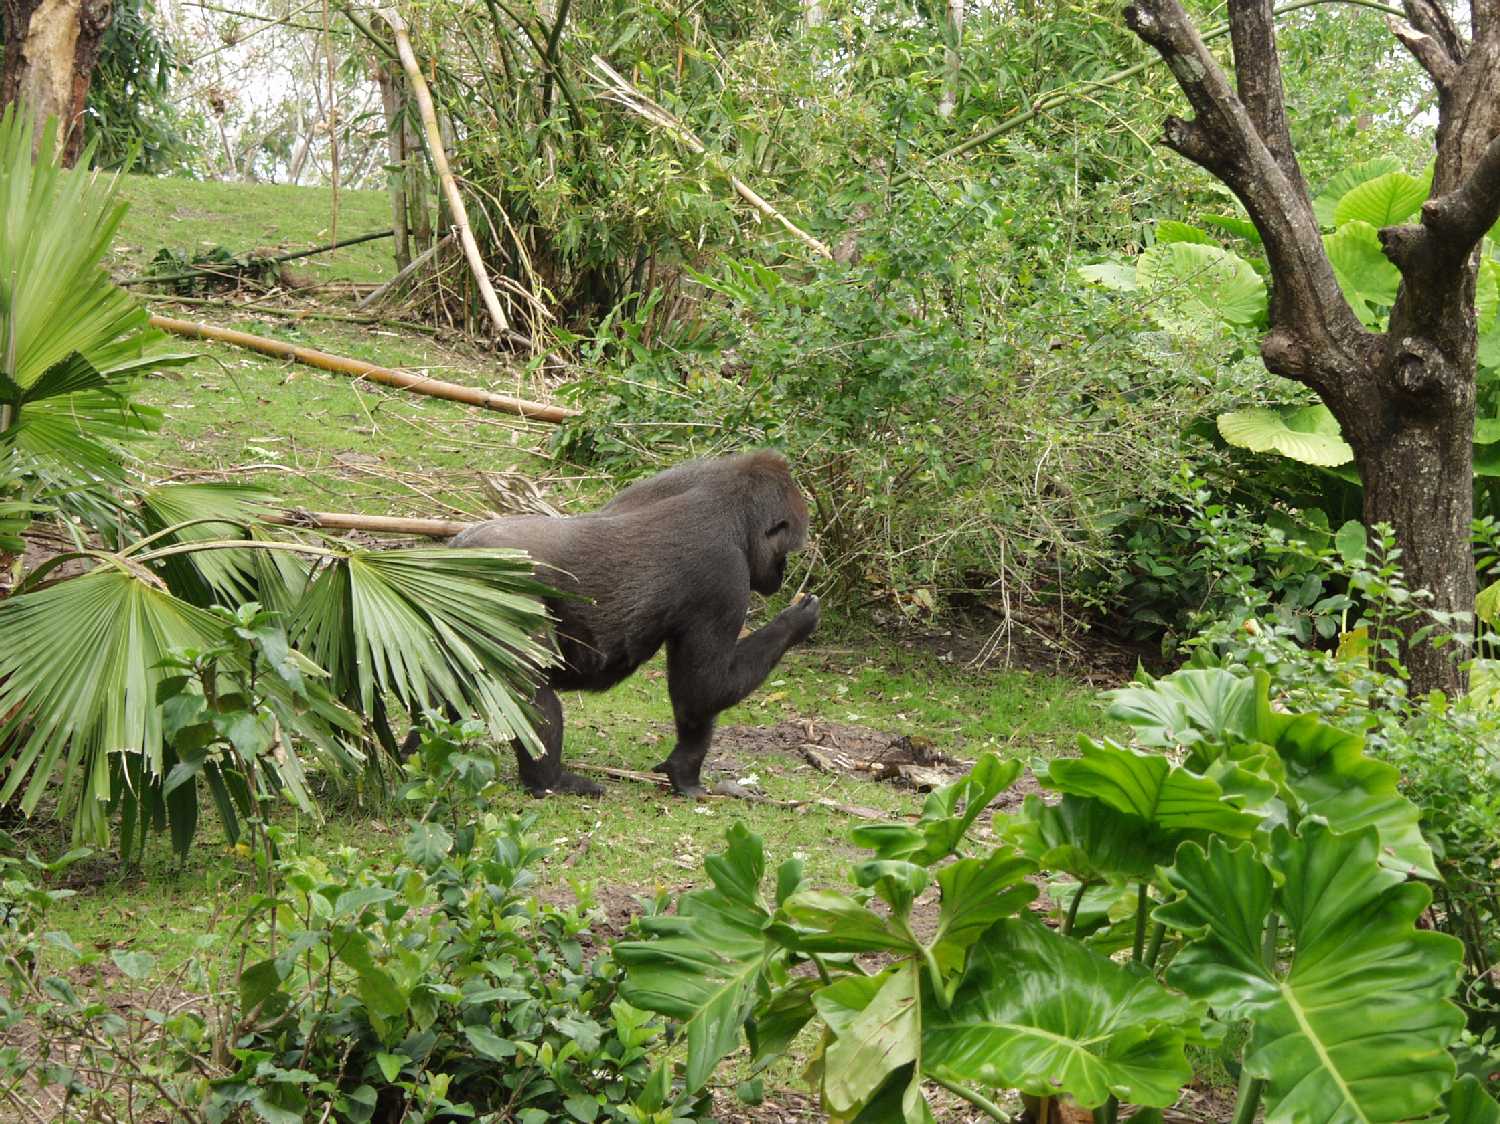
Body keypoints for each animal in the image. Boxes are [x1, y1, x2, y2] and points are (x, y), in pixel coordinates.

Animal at [448, 450, 821, 798]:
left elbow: (697, 699)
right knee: (528, 687)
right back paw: (549, 781)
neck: (734, 509)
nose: (782, 572)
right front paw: (796, 621)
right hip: (501, 591)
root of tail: (459, 547)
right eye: (785, 550)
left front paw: (683, 771)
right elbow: (704, 688)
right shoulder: (725, 577)